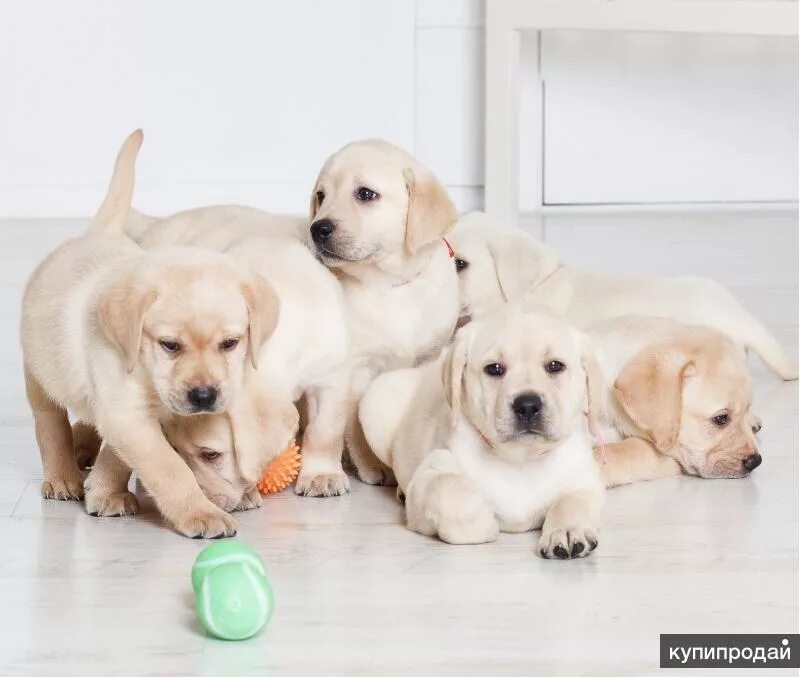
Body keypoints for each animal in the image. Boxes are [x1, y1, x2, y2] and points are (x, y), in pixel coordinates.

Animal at [21, 129, 278, 536]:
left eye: (230, 343)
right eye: (170, 345)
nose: (204, 396)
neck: (145, 370)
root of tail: (94, 234)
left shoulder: (129, 416)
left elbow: (118, 454)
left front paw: (106, 491)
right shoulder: (127, 413)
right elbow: (169, 468)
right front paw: (200, 512)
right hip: (39, 371)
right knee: (49, 423)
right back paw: (62, 476)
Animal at [360, 306, 604, 560]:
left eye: (555, 366)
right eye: (494, 369)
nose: (528, 405)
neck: (520, 461)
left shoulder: (585, 480)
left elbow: (572, 503)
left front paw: (566, 531)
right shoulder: (432, 472)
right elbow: (448, 489)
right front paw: (482, 524)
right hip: (374, 405)